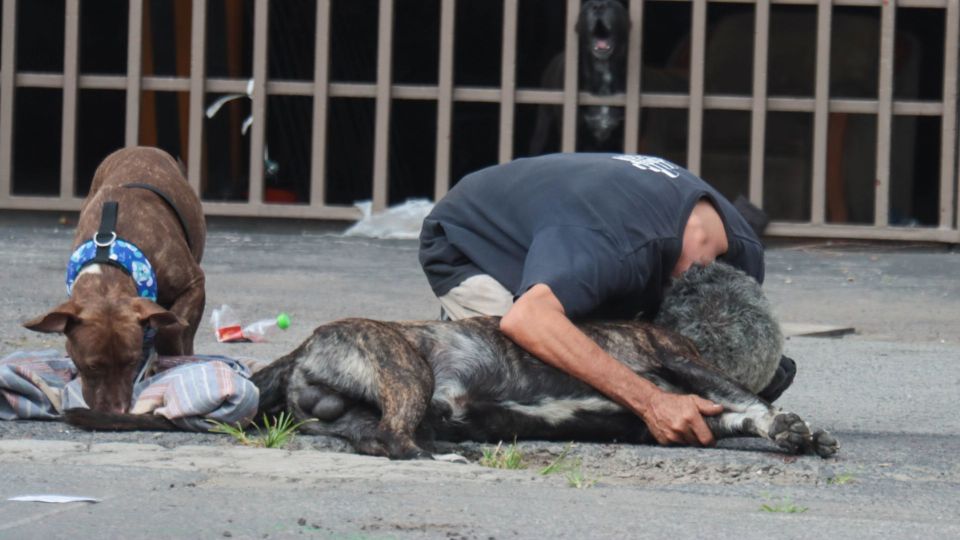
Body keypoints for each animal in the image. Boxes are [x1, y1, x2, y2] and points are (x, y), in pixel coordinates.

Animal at [24, 148, 206, 414]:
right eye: (91, 367)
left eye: (131, 362)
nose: (116, 411)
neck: (109, 265)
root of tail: (141, 148)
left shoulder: (194, 284)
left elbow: (172, 329)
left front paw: (172, 358)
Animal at [249, 264, 840, 458]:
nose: (792, 362)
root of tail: (302, 348)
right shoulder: (681, 361)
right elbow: (750, 401)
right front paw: (789, 426)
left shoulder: (683, 420)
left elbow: (734, 415)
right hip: (405, 369)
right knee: (395, 439)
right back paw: (443, 454)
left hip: (353, 413)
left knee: (375, 437)